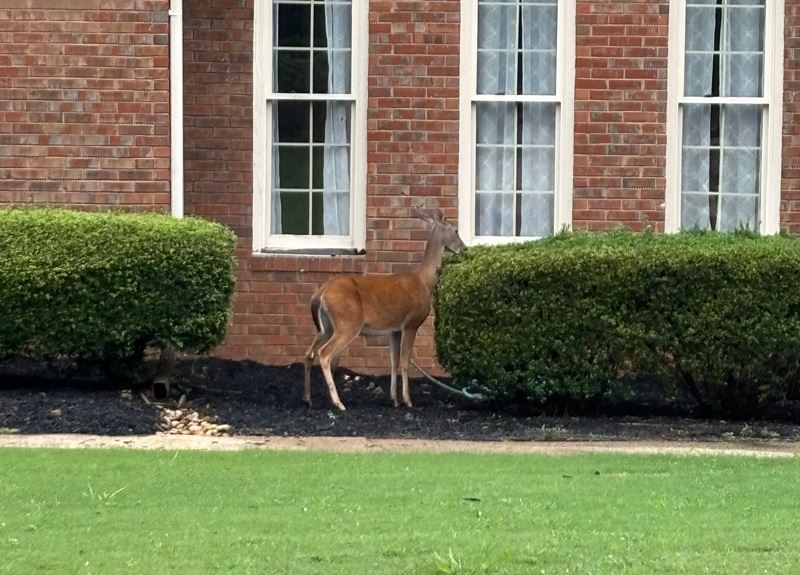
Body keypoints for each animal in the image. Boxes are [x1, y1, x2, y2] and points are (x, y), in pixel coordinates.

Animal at [303, 206, 466, 411]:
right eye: (455, 230)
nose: (465, 248)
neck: (424, 281)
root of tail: (321, 293)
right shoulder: (411, 323)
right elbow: (405, 361)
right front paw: (407, 400)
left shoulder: (394, 329)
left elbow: (393, 361)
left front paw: (394, 399)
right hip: (347, 323)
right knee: (324, 354)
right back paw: (338, 402)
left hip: (325, 327)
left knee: (309, 353)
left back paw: (308, 399)